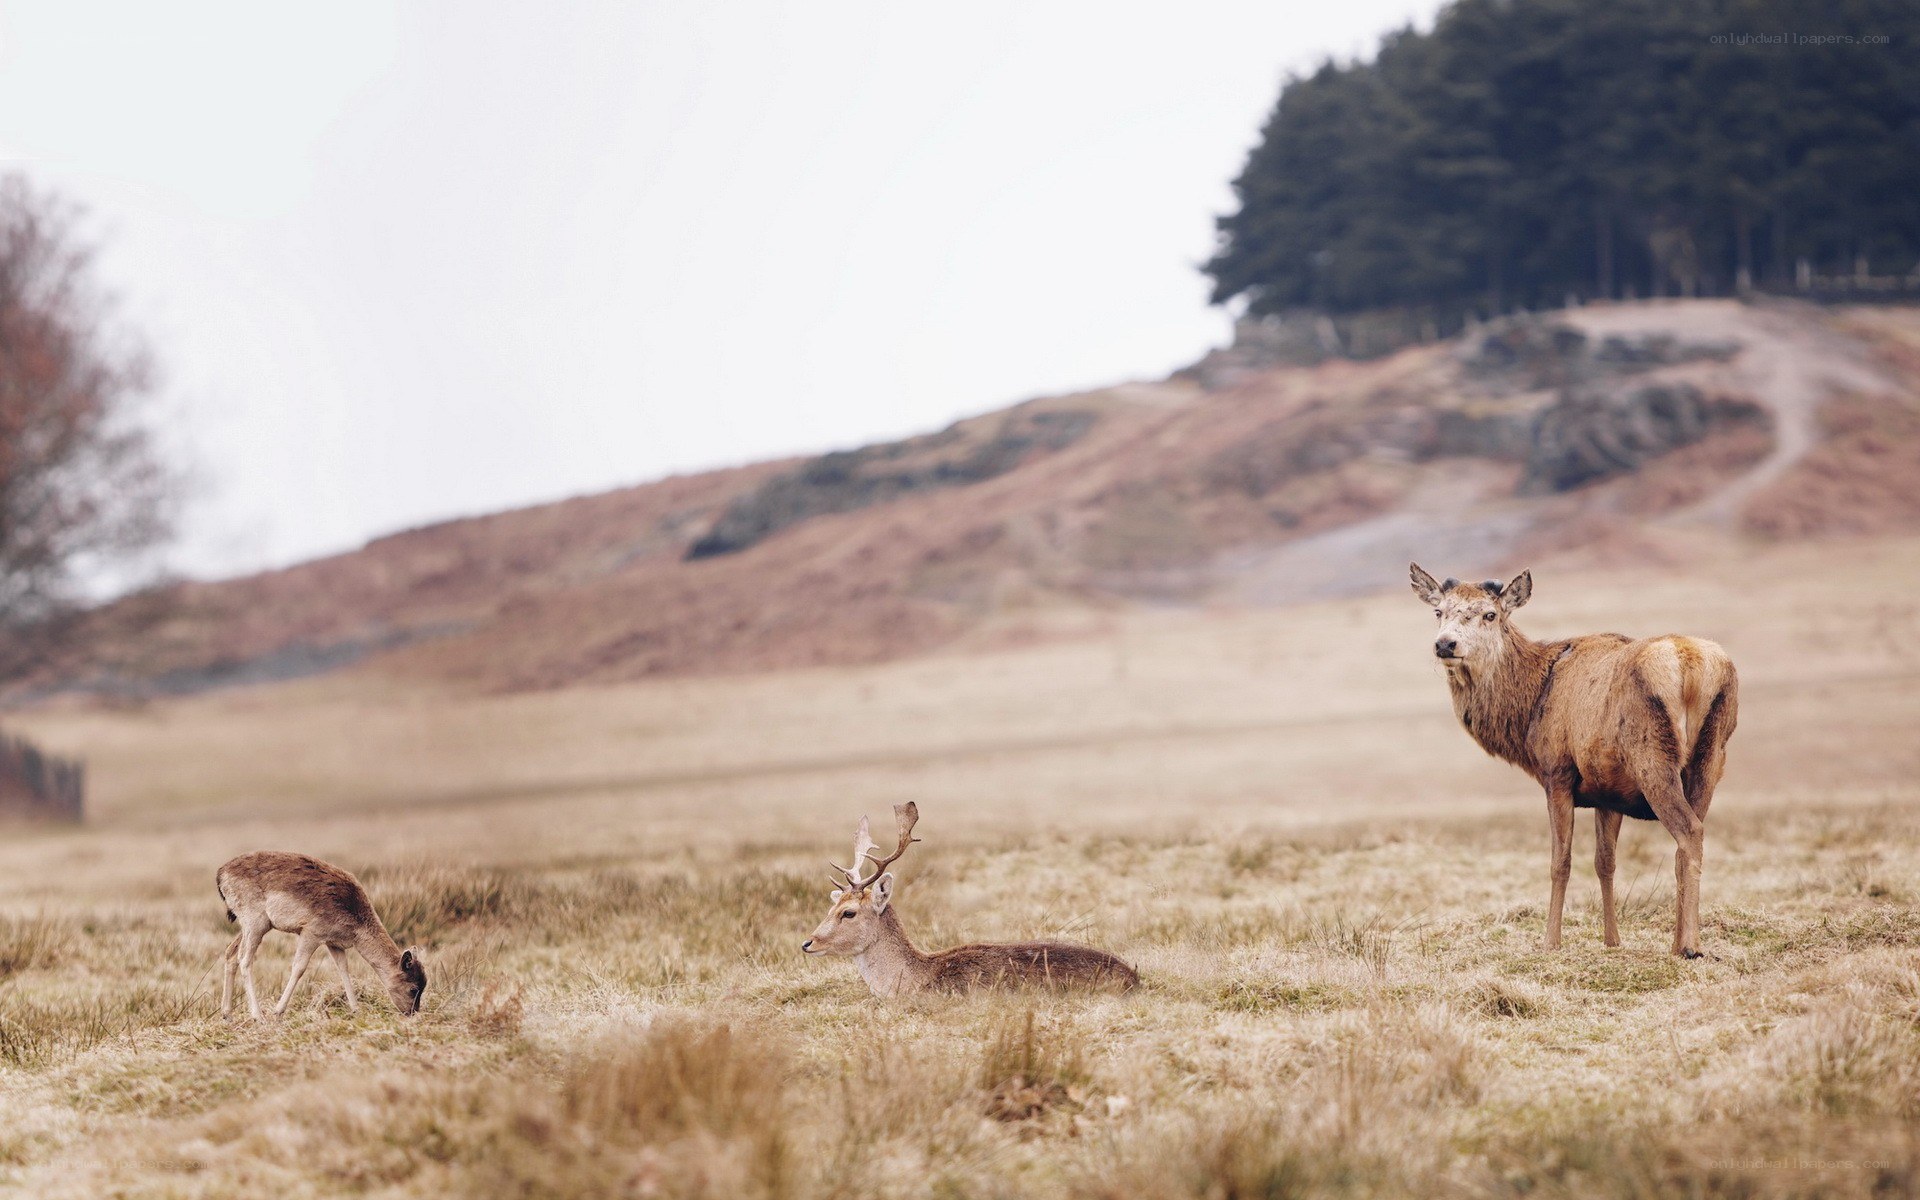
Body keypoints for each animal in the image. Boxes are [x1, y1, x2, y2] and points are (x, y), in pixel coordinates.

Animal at [217, 851, 427, 1020]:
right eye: (413, 988)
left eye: (424, 984)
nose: (412, 1013)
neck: (356, 924)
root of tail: (220, 875)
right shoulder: (311, 932)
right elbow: (299, 967)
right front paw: (277, 1011)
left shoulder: (333, 942)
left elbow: (343, 968)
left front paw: (356, 1010)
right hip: (255, 921)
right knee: (245, 959)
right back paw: (258, 1016)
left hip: (249, 925)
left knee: (230, 953)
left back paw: (227, 1014)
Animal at [1409, 565, 1737, 957]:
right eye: (1438, 611)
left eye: (1490, 614)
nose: (1445, 644)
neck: (1529, 711)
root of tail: (1692, 665)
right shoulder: (1608, 790)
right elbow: (1605, 862)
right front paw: (1612, 940)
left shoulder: (1557, 772)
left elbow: (1560, 862)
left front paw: (1550, 941)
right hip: (1710, 758)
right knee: (1691, 838)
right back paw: (1679, 941)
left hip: (1652, 757)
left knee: (1689, 831)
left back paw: (1689, 945)